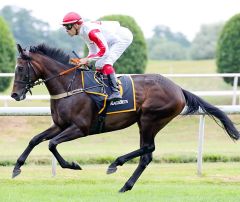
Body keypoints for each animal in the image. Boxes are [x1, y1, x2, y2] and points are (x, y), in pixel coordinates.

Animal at [10, 43, 239, 192]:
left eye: (20, 68)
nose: (14, 95)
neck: (69, 86)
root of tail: (178, 88)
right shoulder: (60, 125)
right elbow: (35, 140)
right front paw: (16, 167)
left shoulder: (80, 128)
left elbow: (52, 145)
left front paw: (73, 165)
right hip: (146, 121)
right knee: (147, 155)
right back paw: (125, 185)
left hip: (150, 119)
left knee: (148, 149)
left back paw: (116, 164)